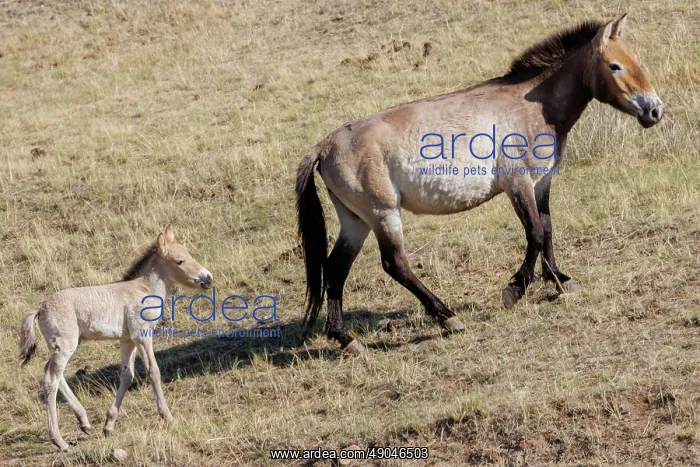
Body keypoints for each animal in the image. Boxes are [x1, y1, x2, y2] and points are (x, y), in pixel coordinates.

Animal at [19, 225, 213, 451]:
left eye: (189, 254)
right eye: (180, 261)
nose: (208, 278)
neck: (142, 289)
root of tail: (40, 308)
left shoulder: (127, 340)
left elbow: (127, 375)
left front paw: (109, 425)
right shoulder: (142, 336)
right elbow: (153, 371)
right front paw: (168, 417)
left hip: (63, 346)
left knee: (53, 375)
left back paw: (85, 423)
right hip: (65, 345)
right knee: (50, 380)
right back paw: (60, 441)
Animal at [296, 14, 663, 353]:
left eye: (634, 59)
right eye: (614, 65)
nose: (655, 110)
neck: (532, 105)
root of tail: (323, 148)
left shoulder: (541, 184)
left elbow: (547, 228)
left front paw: (559, 281)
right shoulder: (519, 185)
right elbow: (535, 233)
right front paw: (514, 290)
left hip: (356, 221)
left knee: (335, 269)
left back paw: (346, 340)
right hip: (382, 214)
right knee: (394, 264)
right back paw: (448, 318)